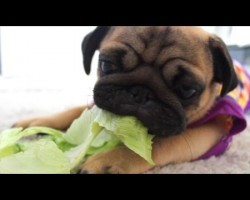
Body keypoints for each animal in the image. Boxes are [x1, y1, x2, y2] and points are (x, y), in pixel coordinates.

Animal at [14, 26, 239, 173]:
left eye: (187, 90)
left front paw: (110, 159)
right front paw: (38, 122)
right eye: (106, 65)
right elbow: (77, 111)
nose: (141, 92)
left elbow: (160, 145)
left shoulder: (211, 129)